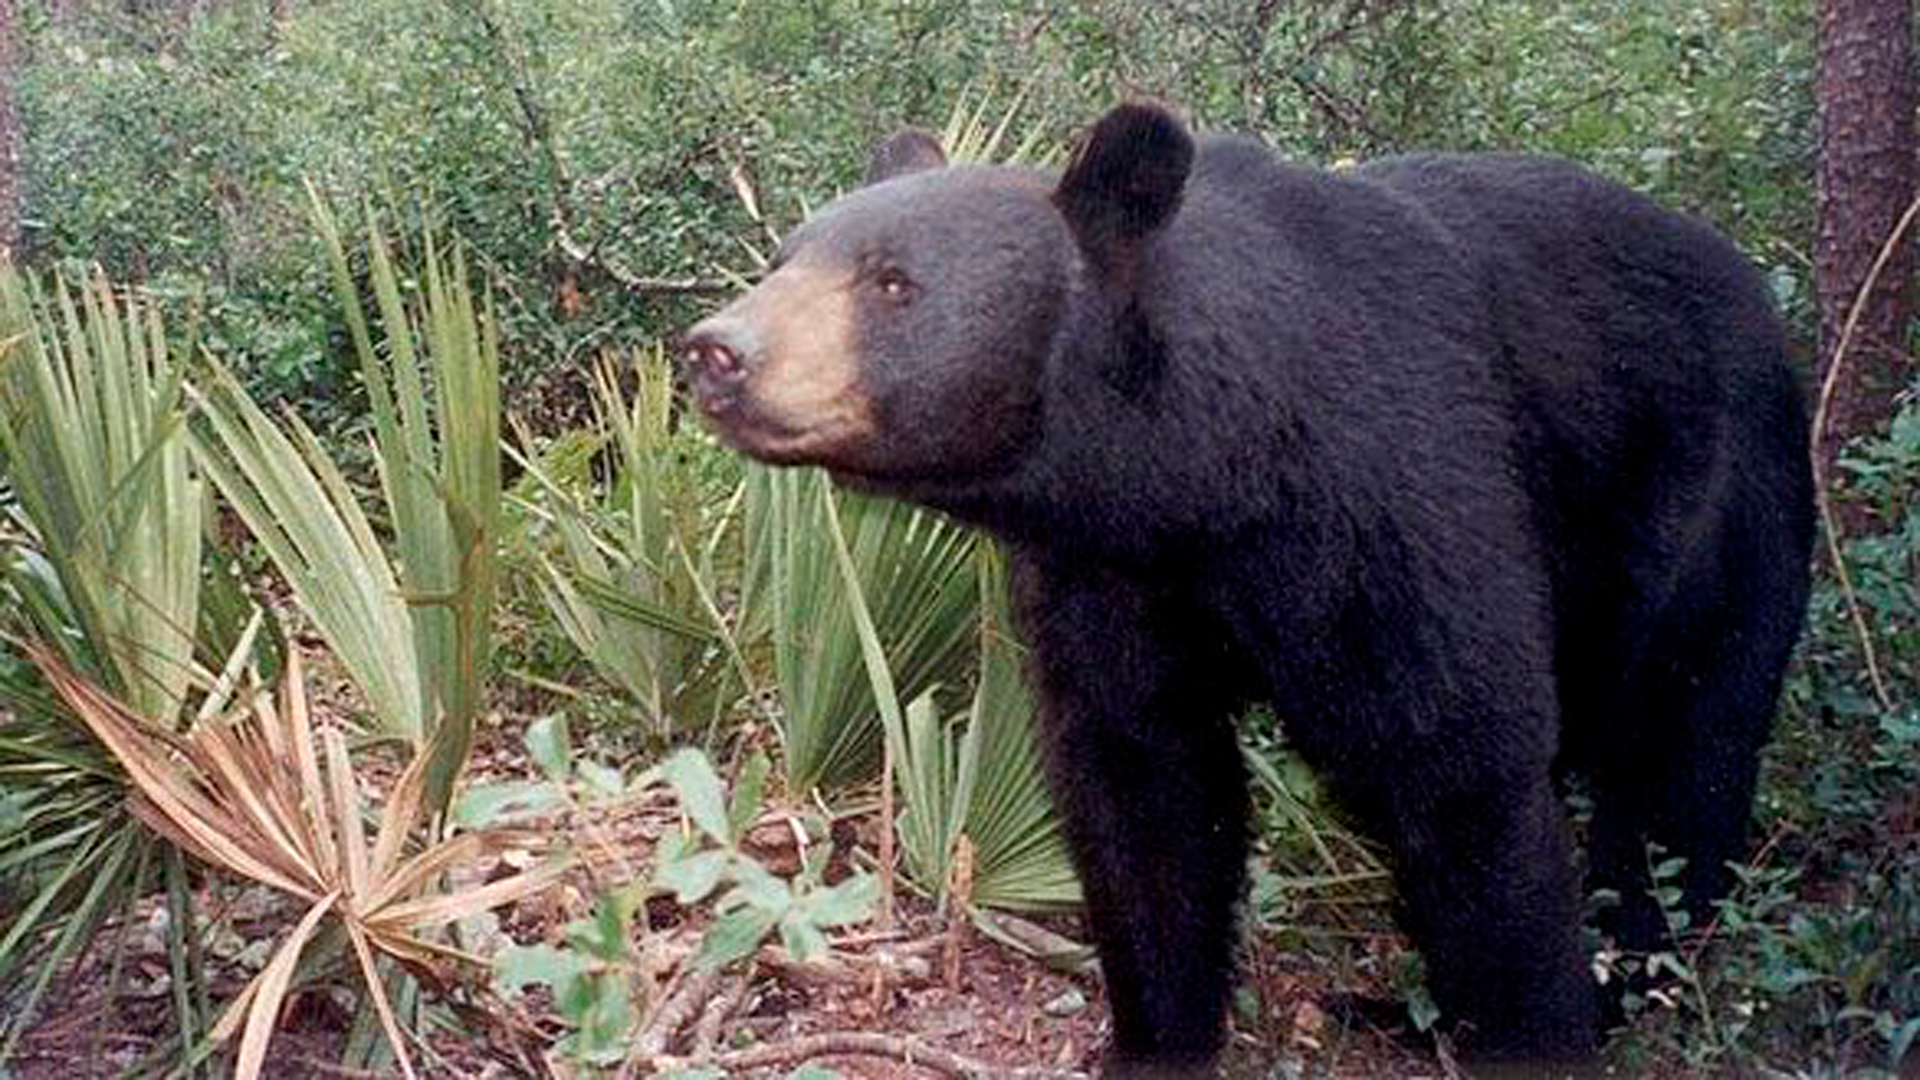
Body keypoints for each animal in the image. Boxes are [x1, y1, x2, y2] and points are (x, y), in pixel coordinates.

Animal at [678, 103, 1815, 1074]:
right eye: (783, 259)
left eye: (891, 283)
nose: (715, 351)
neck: (1205, 476)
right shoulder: (1109, 573)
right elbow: (1144, 785)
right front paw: (1154, 1040)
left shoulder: (1402, 494)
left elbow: (1466, 768)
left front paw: (1535, 1023)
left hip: (1712, 500)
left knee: (1680, 756)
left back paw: (1614, 975)